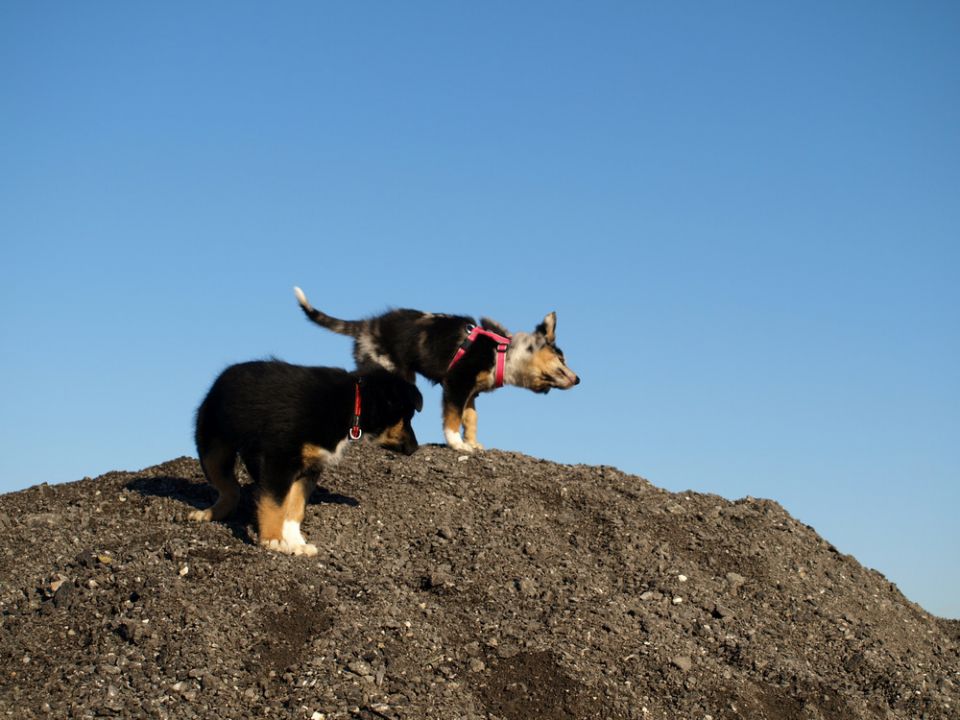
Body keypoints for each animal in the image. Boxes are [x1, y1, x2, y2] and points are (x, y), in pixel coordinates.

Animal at [189, 360, 422, 556]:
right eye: (408, 417)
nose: (415, 448)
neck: (352, 402)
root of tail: (222, 377)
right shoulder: (280, 460)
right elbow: (275, 503)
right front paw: (272, 540)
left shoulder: (310, 468)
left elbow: (295, 507)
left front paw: (296, 544)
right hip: (213, 448)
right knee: (229, 487)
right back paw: (207, 514)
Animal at [292, 286, 576, 450]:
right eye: (562, 359)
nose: (579, 379)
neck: (504, 352)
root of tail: (366, 326)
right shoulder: (456, 383)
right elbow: (452, 418)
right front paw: (457, 444)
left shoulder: (471, 392)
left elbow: (470, 418)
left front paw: (473, 443)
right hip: (392, 370)